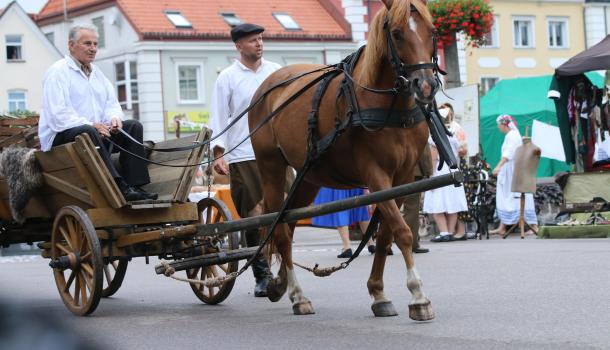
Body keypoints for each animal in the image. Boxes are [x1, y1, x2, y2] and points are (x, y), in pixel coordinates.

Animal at [249, 0, 440, 318]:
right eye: (397, 33)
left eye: (432, 30)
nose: (425, 86)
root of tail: (269, 85)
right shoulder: (376, 175)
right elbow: (401, 231)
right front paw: (418, 296)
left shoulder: (402, 178)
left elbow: (385, 235)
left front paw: (378, 292)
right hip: (271, 168)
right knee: (280, 230)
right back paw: (298, 295)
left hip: (308, 177)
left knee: (287, 223)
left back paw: (281, 283)